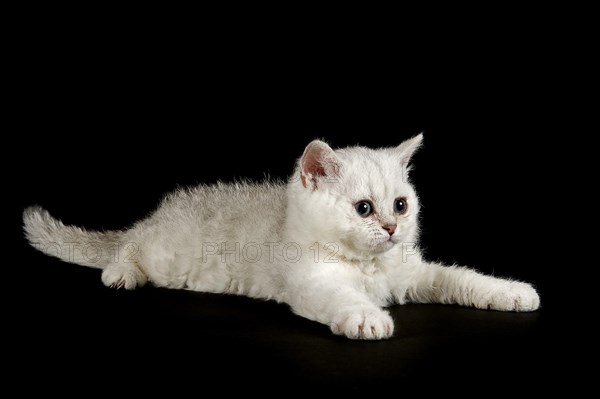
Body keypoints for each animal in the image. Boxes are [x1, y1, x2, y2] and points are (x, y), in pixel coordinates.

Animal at [22, 135, 540, 340]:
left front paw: (513, 293)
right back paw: (120, 272)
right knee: (127, 245)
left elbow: (461, 278)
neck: (368, 268)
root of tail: (161, 213)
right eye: (364, 208)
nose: (392, 228)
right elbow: (342, 299)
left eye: (400, 205)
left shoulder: (415, 274)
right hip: (165, 253)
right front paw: (367, 318)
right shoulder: (311, 282)